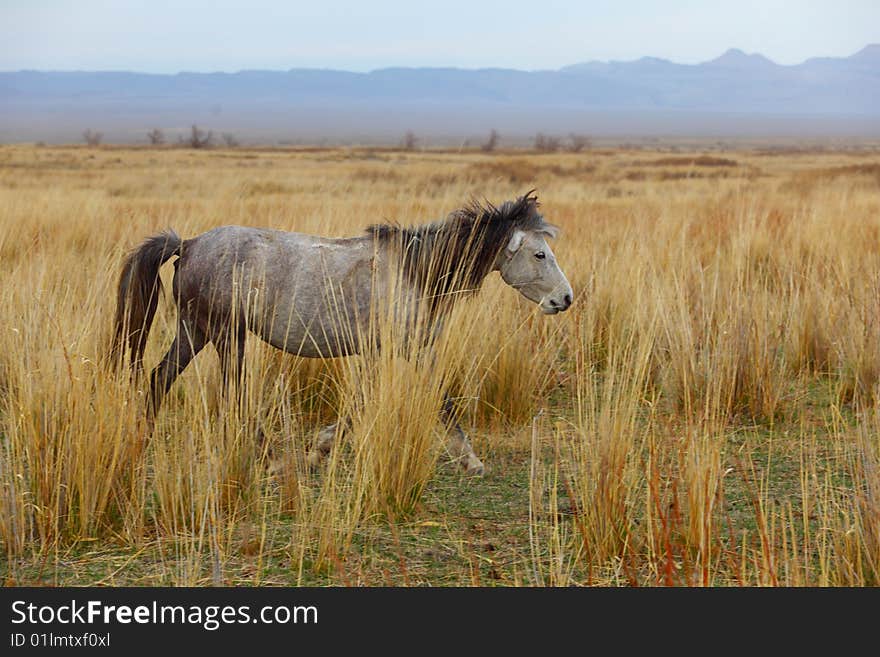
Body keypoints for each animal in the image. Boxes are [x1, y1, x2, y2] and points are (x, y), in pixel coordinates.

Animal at [110, 190, 576, 472]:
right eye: (539, 254)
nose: (566, 299)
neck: (416, 272)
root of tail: (188, 245)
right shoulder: (399, 349)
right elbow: (432, 401)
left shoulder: (398, 351)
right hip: (226, 336)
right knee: (234, 396)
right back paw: (271, 459)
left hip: (195, 331)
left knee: (159, 379)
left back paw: (141, 441)